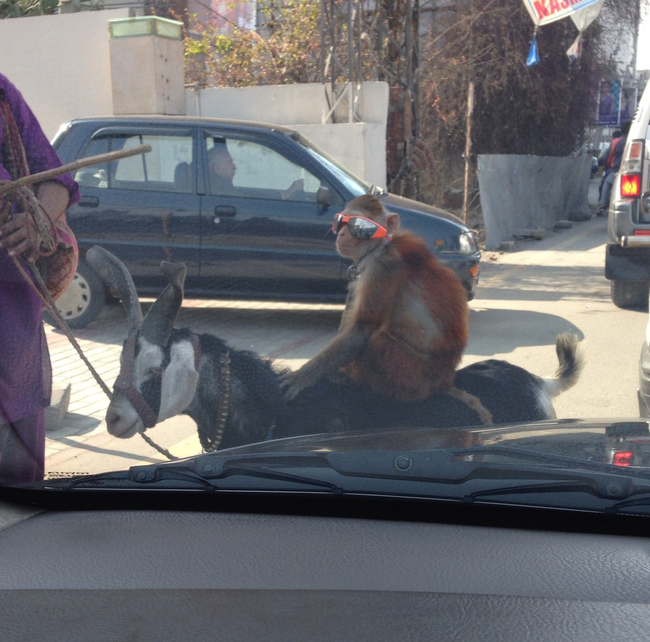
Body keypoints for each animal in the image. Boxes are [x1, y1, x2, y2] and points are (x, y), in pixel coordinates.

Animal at [280, 192, 492, 422]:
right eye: (341, 221)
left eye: (359, 225)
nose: (342, 233)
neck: (379, 248)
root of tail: (444, 380)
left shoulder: (381, 267)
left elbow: (361, 329)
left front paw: (304, 376)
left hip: (414, 377)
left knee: (379, 341)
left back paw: (354, 380)